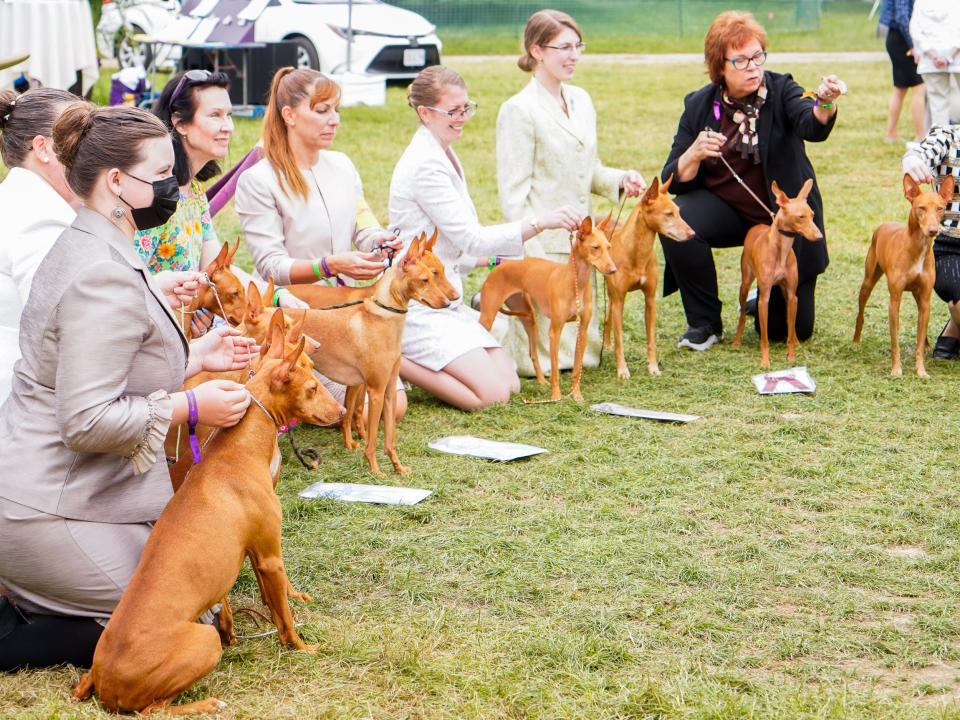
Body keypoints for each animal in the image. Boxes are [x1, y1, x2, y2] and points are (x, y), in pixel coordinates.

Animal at [75, 318, 344, 716]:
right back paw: (206, 704)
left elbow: (254, 599)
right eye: (312, 387)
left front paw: (236, 628)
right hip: (202, 643)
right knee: (153, 710)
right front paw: (301, 647)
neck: (236, 449)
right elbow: (285, 616)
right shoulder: (270, 556)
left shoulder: (251, 553)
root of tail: (104, 680)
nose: (342, 413)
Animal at [478, 217, 616, 402]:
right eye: (595, 247)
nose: (614, 270)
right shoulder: (555, 332)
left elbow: (577, 367)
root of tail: (499, 265)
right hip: (487, 317)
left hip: (529, 318)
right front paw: (556, 396)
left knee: (533, 353)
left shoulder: (583, 331)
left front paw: (576, 395)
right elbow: (555, 367)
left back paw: (542, 381)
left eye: (609, 247)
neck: (576, 283)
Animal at [600, 175, 688, 380]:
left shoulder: (650, 299)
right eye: (668, 214)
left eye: (679, 212)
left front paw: (653, 367)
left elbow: (651, 339)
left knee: (608, 317)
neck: (636, 253)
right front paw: (622, 370)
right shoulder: (619, 301)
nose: (692, 234)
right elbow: (620, 341)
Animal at [732, 179, 820, 368]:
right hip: (745, 284)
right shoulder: (764, 300)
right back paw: (736, 341)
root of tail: (757, 226)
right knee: (742, 315)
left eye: (812, 215)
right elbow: (764, 338)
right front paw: (765, 361)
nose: (819, 237)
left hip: (786, 294)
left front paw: (791, 355)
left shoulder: (792, 295)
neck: (782, 250)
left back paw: (796, 341)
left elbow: (791, 326)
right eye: (800, 217)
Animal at [856, 173, 952, 376]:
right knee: (860, 314)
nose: (933, 230)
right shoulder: (894, 300)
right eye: (921, 208)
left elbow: (919, 340)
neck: (917, 247)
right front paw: (896, 370)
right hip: (868, 283)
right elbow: (895, 341)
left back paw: (927, 344)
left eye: (940, 208)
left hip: (917, 295)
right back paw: (855, 342)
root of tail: (885, 224)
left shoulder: (925, 300)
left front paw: (921, 371)